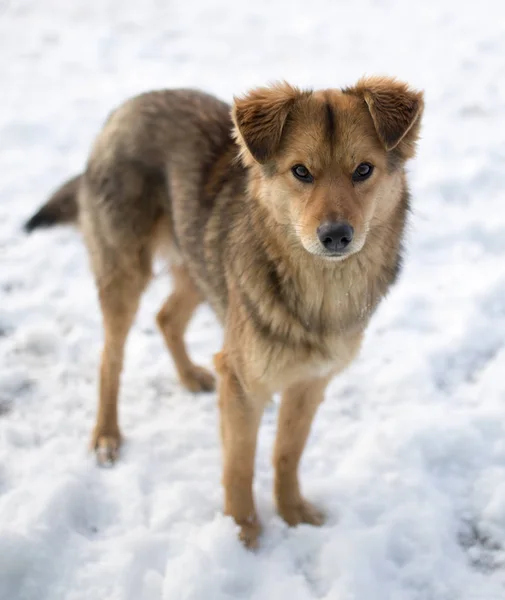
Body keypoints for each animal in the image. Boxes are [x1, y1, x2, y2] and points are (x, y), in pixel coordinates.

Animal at [25, 78, 424, 548]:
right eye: (301, 172)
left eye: (363, 170)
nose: (336, 236)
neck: (321, 290)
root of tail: (129, 105)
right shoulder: (242, 383)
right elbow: (239, 464)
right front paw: (243, 533)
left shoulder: (310, 382)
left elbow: (287, 452)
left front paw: (293, 513)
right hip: (126, 274)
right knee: (111, 358)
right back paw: (107, 437)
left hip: (200, 266)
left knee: (166, 317)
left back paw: (190, 376)